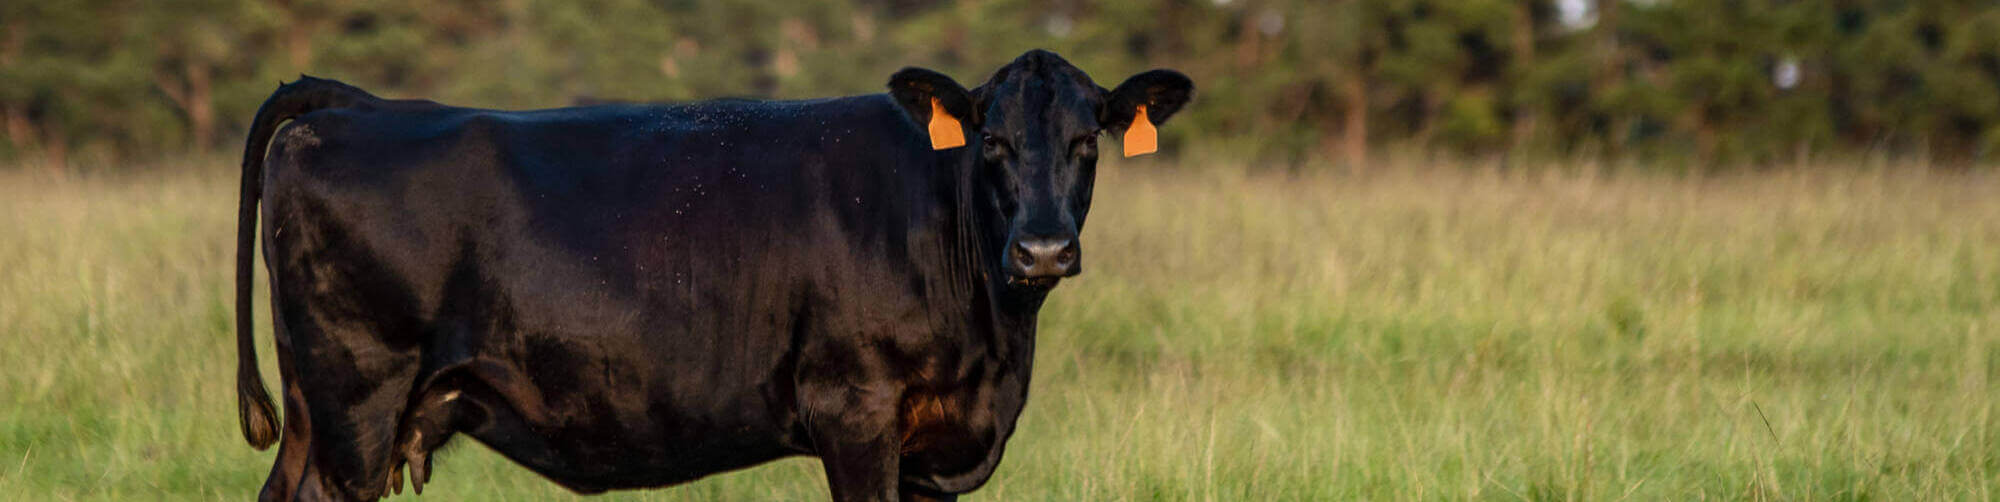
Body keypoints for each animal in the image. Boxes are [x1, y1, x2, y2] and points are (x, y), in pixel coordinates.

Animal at [242, 49, 1192, 500]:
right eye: (990, 140)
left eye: (1087, 140)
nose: (1042, 250)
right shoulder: (854, 412)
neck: (994, 346)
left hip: (315, 407)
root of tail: (364, 106)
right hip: (357, 402)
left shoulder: (931, 450)